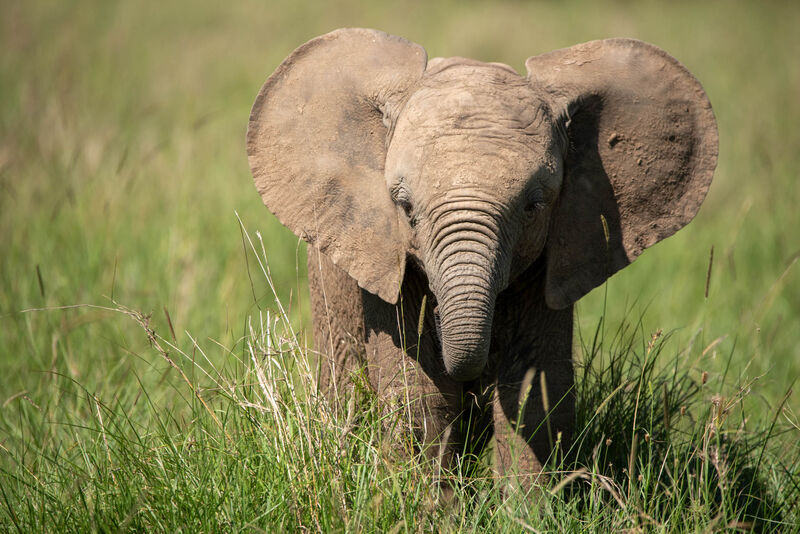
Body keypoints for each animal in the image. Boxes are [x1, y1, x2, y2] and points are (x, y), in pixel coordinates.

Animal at [246, 28, 717, 489]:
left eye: (533, 206)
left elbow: (534, 390)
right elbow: (417, 387)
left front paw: (529, 507)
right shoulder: (385, 255)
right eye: (405, 207)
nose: (442, 319)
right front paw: (424, 504)